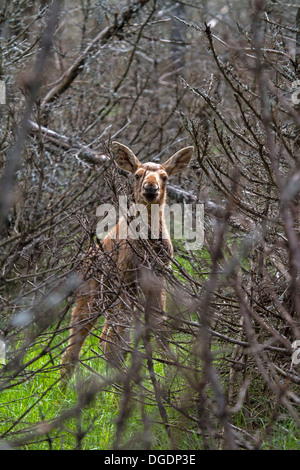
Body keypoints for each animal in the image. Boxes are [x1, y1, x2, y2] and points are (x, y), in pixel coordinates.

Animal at [60, 140, 195, 382]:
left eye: (165, 177)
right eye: (137, 175)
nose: (150, 188)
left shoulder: (159, 278)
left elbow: (160, 330)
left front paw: (171, 371)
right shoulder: (126, 279)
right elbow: (119, 337)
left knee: (104, 336)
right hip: (92, 294)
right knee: (80, 340)